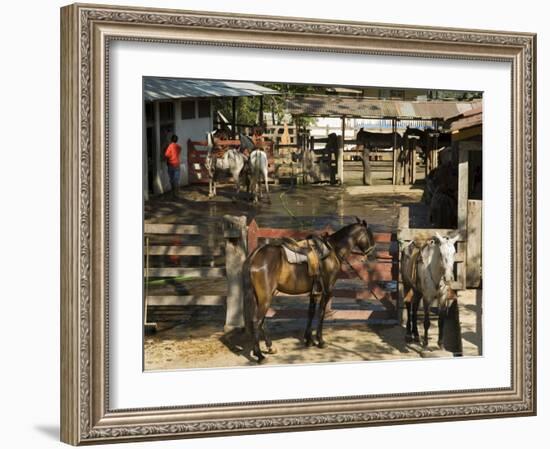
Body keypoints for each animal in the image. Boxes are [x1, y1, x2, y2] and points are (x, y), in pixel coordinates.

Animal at [246, 219, 380, 362]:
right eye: (370, 234)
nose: (372, 253)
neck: (333, 250)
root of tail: (256, 256)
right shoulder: (327, 291)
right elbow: (321, 314)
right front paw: (320, 341)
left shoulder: (314, 292)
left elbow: (310, 312)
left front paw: (308, 339)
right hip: (265, 297)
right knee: (256, 321)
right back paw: (259, 355)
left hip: (261, 297)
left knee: (262, 321)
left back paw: (270, 347)